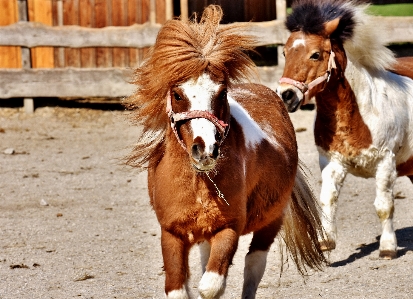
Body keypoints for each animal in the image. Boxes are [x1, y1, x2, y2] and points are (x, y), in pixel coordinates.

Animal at [124, 4, 324, 299]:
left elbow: (211, 286)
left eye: (221, 93)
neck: (197, 183)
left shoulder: (228, 229)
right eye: (178, 95)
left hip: (270, 221)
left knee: (254, 264)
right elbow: (178, 288)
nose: (205, 149)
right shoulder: (172, 234)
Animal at [276, 0, 412, 260]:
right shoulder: (332, 163)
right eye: (285, 53)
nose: (286, 95)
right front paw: (326, 241)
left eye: (316, 54)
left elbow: (384, 206)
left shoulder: (386, 162)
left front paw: (388, 248)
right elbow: (327, 200)